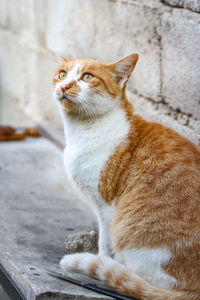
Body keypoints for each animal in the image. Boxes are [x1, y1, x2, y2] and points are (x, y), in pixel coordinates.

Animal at [52, 54, 200, 300]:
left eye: (87, 77)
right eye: (62, 74)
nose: (64, 86)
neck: (81, 131)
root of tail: (194, 290)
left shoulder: (105, 205)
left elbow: (105, 242)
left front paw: (101, 259)